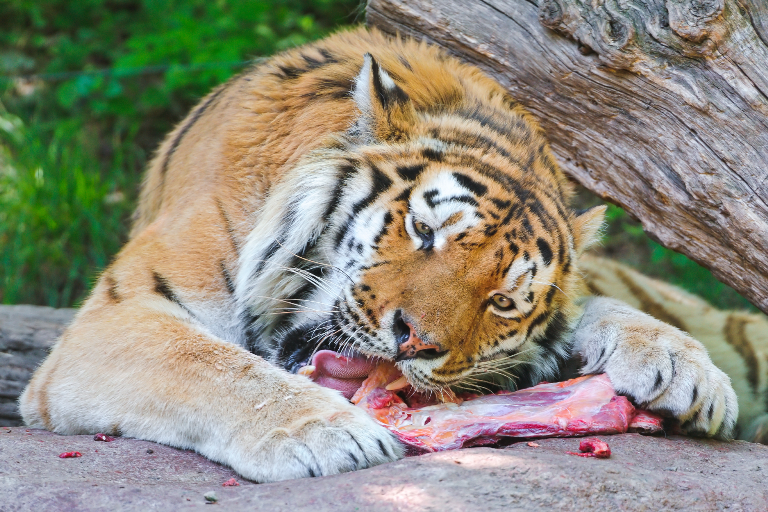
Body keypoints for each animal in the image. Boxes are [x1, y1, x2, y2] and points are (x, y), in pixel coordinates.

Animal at [22, 27, 744, 484]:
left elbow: (605, 307)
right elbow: (214, 366)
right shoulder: (118, 315)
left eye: (502, 301)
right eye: (423, 230)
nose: (414, 340)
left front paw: (687, 371)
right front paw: (329, 434)